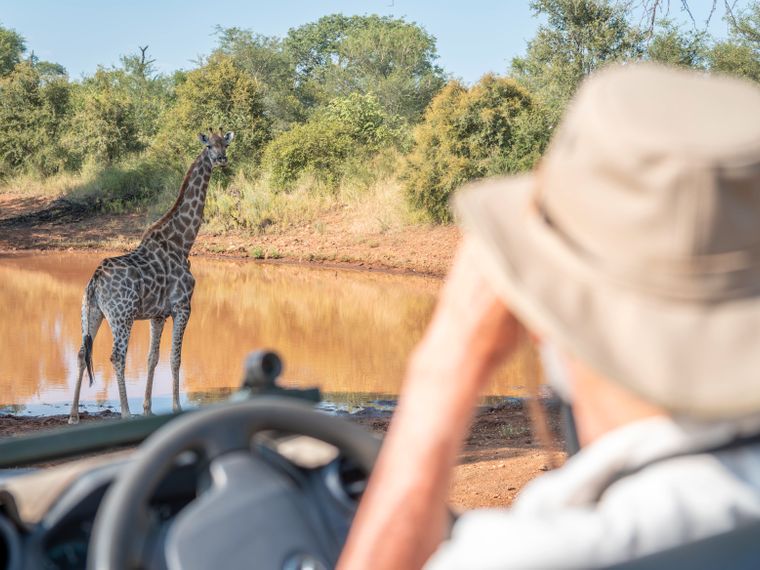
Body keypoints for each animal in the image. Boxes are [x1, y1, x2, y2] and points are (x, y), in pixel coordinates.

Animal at [68, 131, 234, 424]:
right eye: (209, 146)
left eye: (225, 143)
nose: (222, 159)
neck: (182, 242)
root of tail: (95, 281)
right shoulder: (183, 306)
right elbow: (175, 358)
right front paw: (176, 407)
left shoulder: (158, 314)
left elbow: (152, 357)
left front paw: (148, 408)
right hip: (122, 316)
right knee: (116, 356)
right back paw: (125, 412)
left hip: (91, 313)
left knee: (81, 353)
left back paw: (74, 415)